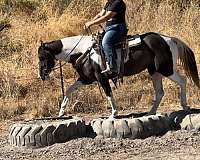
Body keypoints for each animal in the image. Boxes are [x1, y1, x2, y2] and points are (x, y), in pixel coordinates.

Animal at [38, 31, 200, 118]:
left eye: (42, 57)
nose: (41, 75)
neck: (83, 51)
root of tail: (169, 39)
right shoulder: (85, 79)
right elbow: (69, 90)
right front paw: (61, 112)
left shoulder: (101, 78)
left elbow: (108, 94)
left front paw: (114, 113)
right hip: (154, 71)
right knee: (160, 92)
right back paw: (151, 112)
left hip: (166, 69)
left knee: (183, 81)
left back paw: (185, 106)